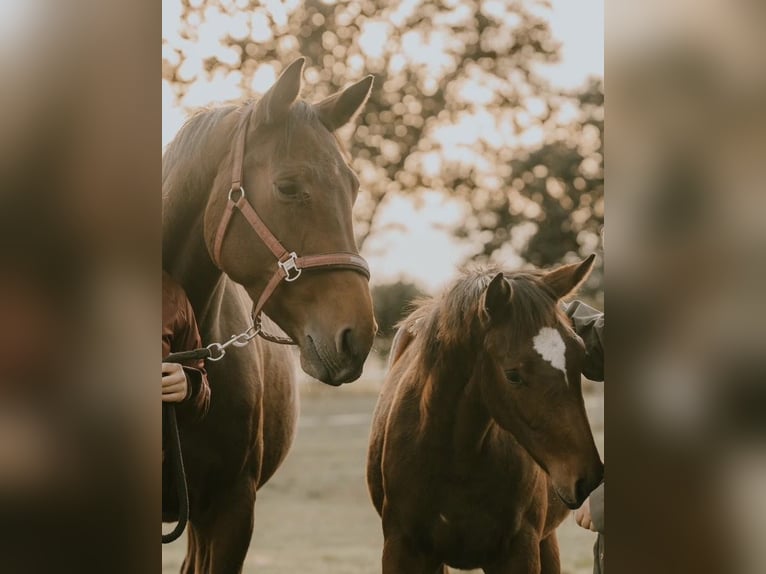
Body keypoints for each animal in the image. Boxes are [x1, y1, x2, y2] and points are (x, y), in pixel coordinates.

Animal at [368, 258, 608, 574]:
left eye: (580, 355)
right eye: (513, 375)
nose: (587, 478)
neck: (455, 459)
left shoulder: (518, 552)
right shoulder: (402, 551)